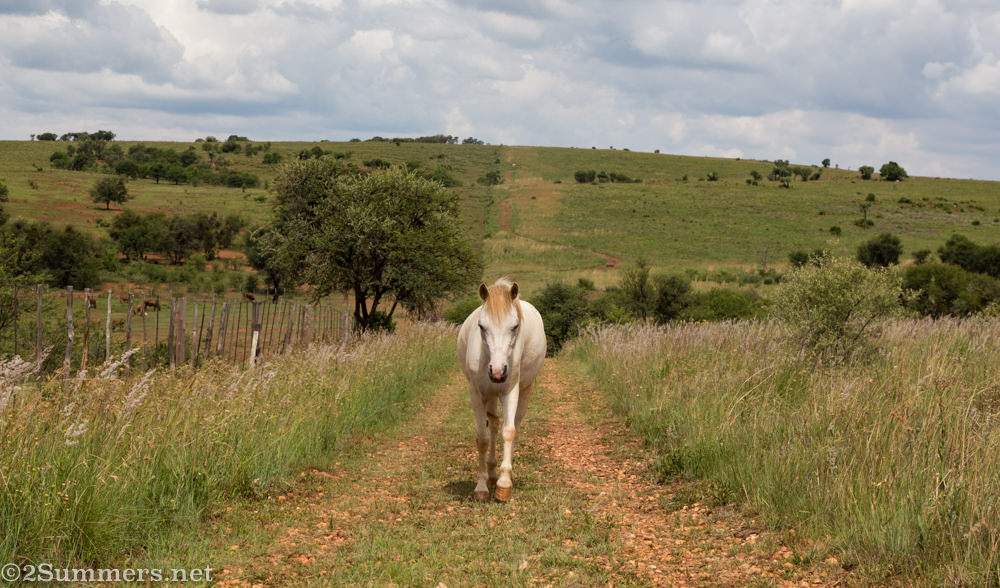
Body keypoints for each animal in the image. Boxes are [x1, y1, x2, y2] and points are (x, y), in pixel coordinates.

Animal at [457, 278, 546, 502]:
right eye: (481, 326)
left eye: (514, 326)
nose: (497, 373)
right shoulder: (476, 394)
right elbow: (482, 438)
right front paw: (481, 487)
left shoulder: (510, 391)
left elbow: (509, 431)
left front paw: (504, 485)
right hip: (489, 395)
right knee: (494, 425)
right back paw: (491, 473)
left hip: (524, 390)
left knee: (515, 427)